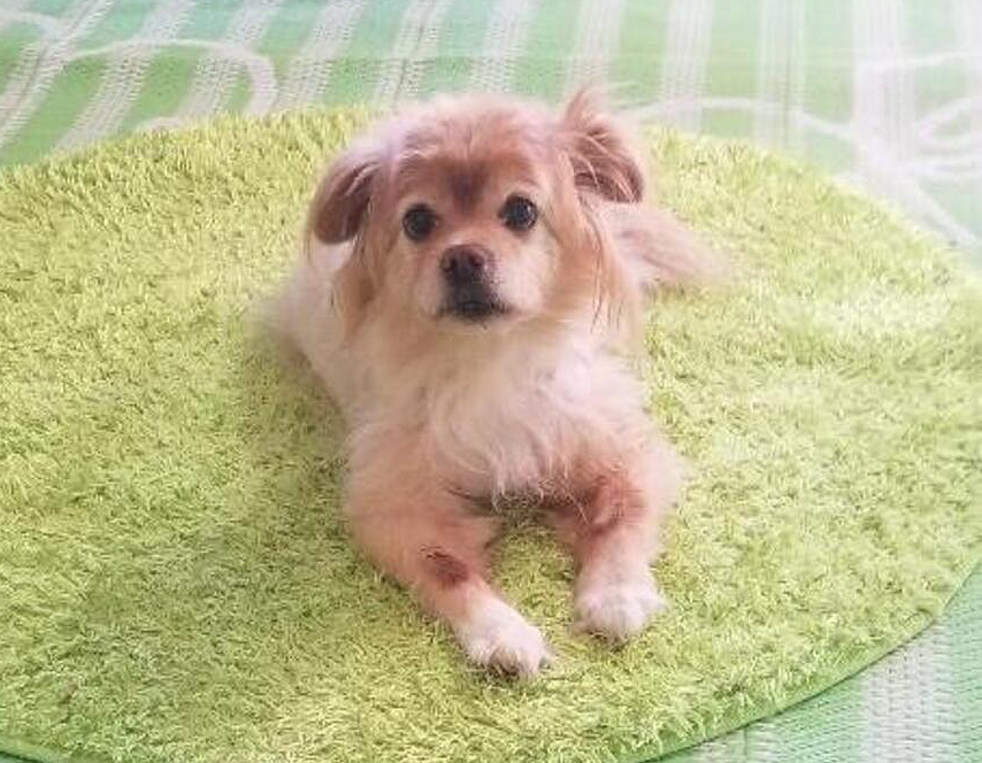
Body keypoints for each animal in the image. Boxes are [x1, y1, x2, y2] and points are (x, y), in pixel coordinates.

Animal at [272, 92, 720, 676]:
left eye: (521, 211)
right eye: (418, 221)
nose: (463, 257)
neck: (490, 359)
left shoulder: (622, 451)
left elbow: (621, 517)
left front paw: (616, 595)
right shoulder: (397, 508)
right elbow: (448, 569)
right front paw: (503, 634)